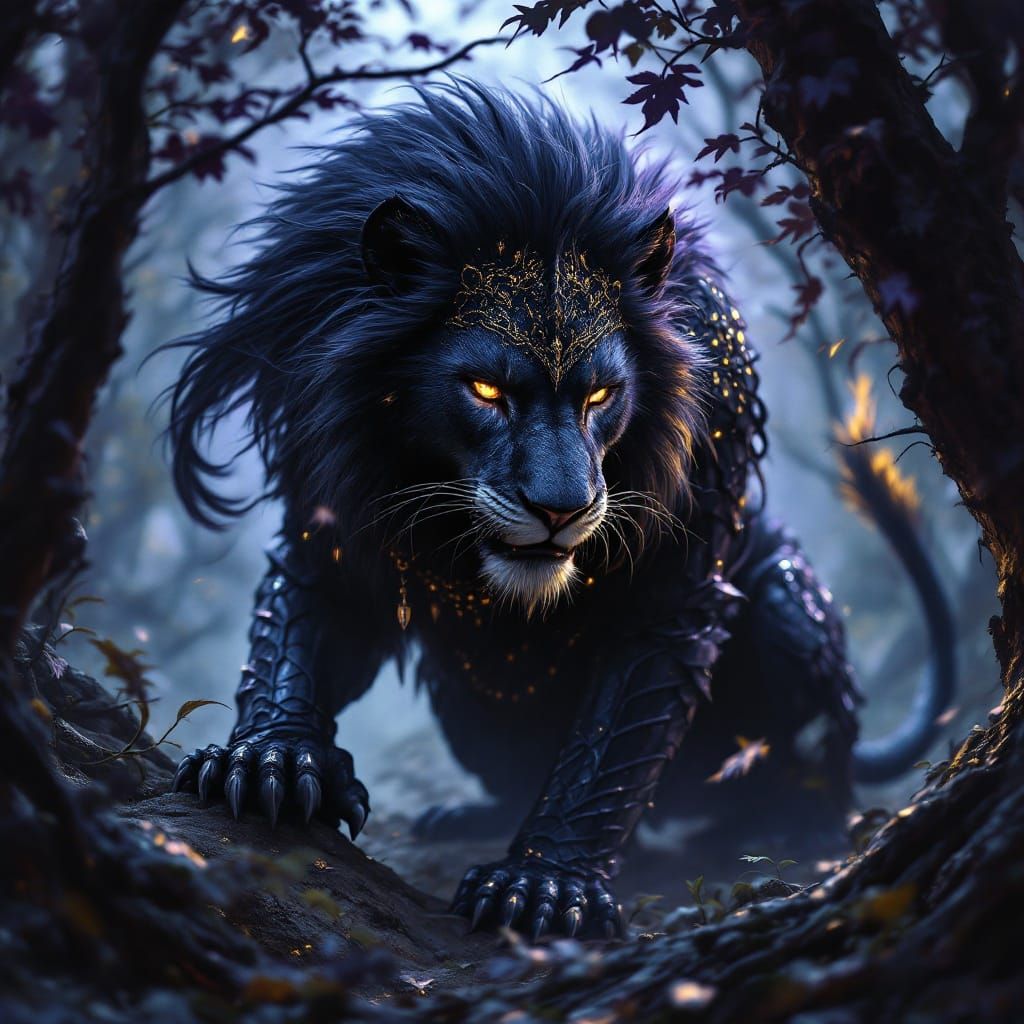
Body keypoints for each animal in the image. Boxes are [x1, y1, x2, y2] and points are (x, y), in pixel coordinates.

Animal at [166, 83, 953, 940]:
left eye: (601, 395)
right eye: (485, 390)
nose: (560, 509)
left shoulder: (677, 574)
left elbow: (612, 739)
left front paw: (546, 885)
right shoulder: (328, 509)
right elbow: (299, 634)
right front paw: (270, 760)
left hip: (785, 601)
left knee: (815, 762)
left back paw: (784, 826)